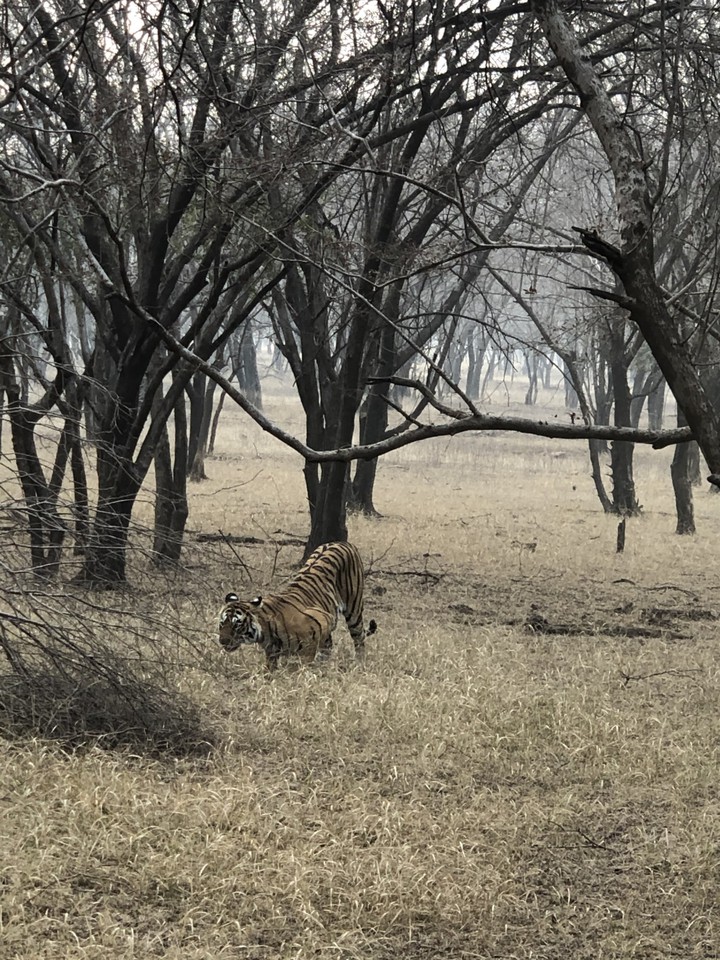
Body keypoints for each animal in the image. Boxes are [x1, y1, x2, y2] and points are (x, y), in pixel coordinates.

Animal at [218, 541, 377, 671]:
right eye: (222, 623)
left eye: (237, 624)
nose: (222, 641)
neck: (265, 632)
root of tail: (343, 542)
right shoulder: (272, 653)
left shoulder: (321, 621)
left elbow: (304, 660)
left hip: (353, 609)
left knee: (359, 638)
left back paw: (359, 664)